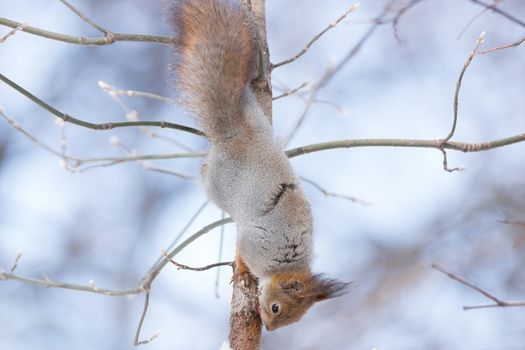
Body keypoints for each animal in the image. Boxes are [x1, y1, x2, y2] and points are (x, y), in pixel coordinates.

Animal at [170, 0, 348, 330]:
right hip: (219, 185)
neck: (287, 263)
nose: (267, 327)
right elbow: (243, 253)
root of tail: (239, 134)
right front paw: (241, 272)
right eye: (277, 308)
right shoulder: (255, 244)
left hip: (255, 115)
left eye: (293, 320)